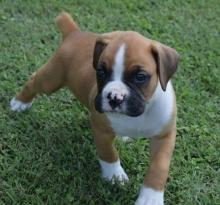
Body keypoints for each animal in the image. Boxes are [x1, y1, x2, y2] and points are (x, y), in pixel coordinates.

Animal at [9, 12, 180, 204]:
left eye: (140, 76)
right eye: (101, 71)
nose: (114, 98)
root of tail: (74, 33)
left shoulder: (165, 136)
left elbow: (159, 167)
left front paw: (151, 197)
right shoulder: (101, 130)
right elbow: (108, 153)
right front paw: (114, 175)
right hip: (51, 79)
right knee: (34, 80)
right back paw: (20, 102)